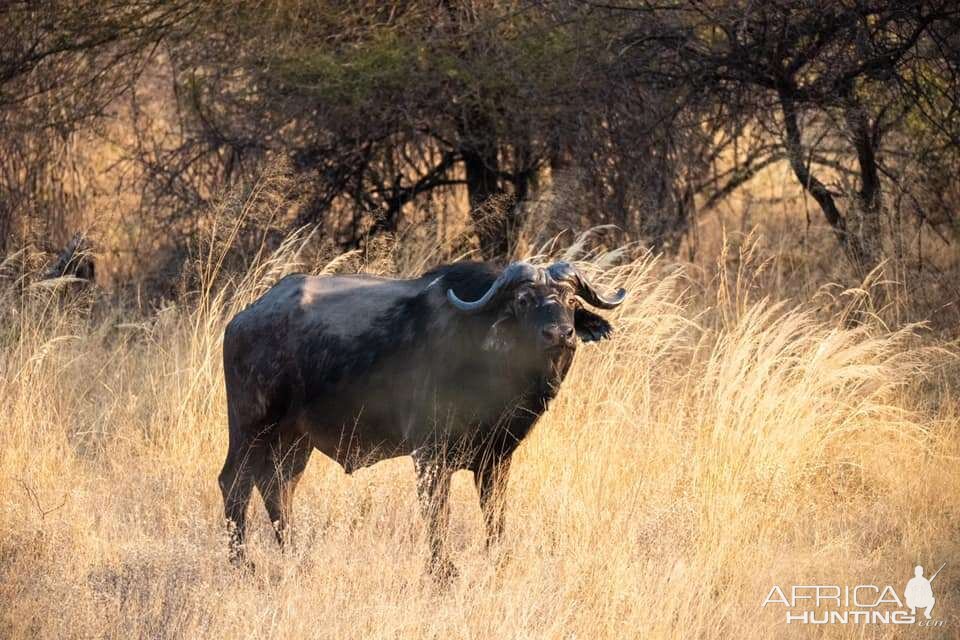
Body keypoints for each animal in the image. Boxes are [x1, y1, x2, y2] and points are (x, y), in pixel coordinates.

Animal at [218, 260, 628, 576]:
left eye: (571, 300)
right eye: (524, 300)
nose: (561, 334)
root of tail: (243, 320)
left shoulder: (496, 459)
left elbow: (494, 515)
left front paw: (498, 560)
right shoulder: (429, 456)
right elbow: (437, 516)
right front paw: (442, 572)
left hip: (294, 441)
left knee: (277, 487)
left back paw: (295, 555)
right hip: (251, 427)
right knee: (234, 484)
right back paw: (243, 565)